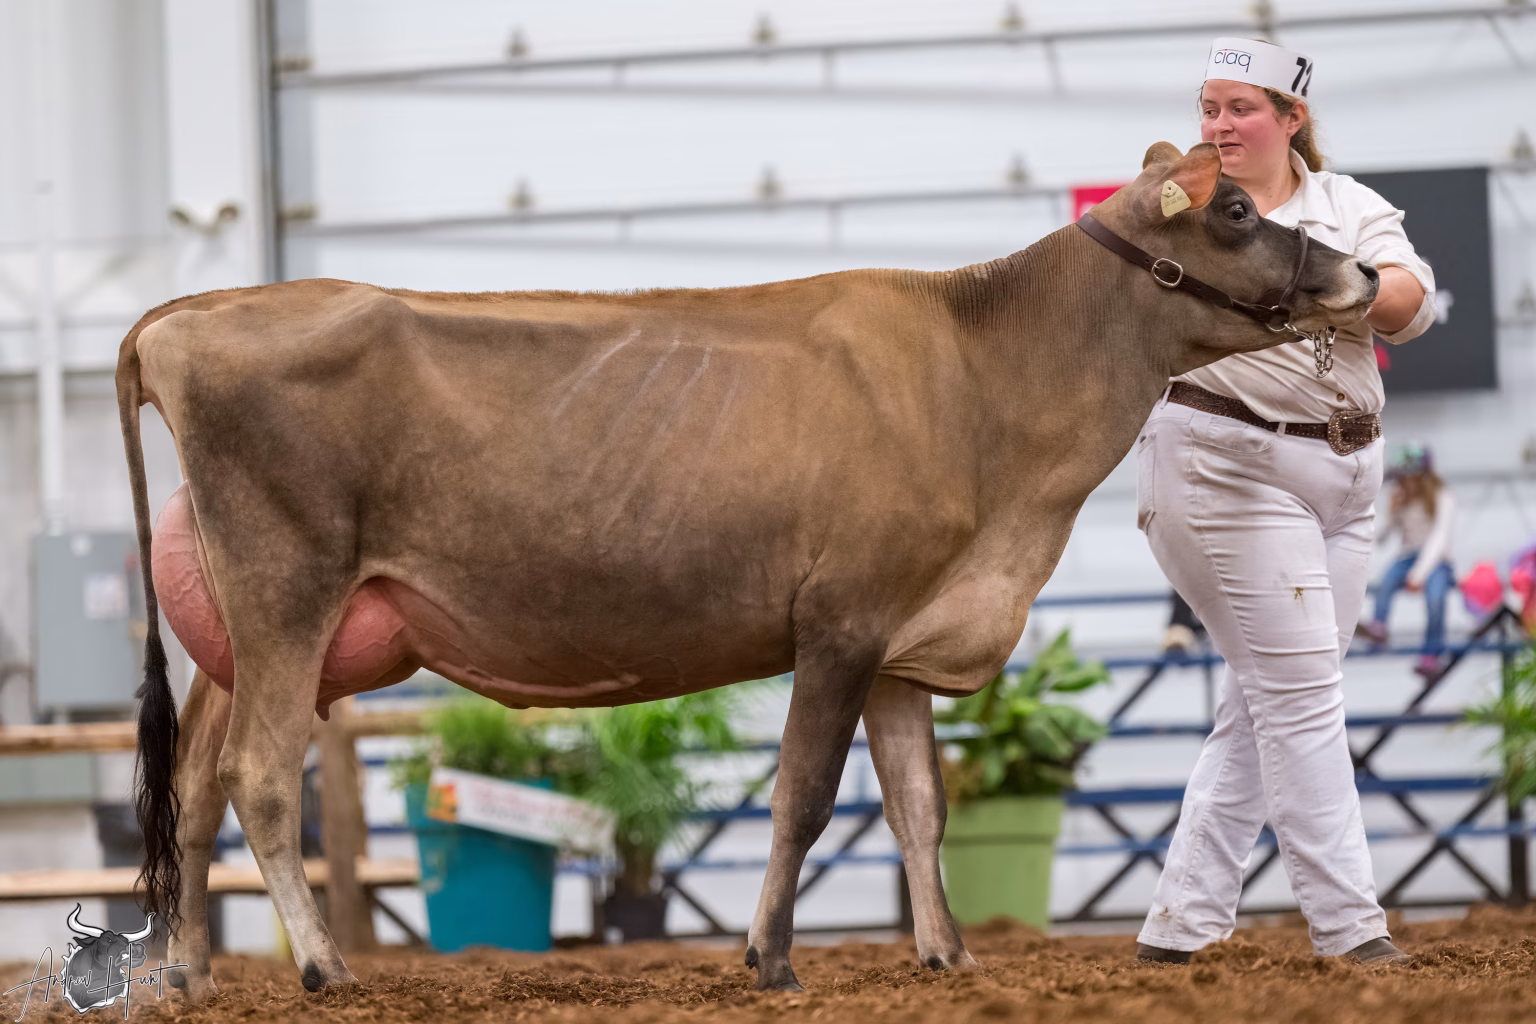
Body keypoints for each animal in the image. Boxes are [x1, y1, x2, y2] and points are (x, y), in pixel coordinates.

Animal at [119, 142, 1377, 998]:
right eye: (1234, 209)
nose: (1365, 274)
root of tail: (191, 315)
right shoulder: (843, 620)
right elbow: (805, 797)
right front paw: (770, 956)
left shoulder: (905, 643)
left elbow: (919, 805)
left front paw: (947, 955)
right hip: (287, 590)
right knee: (260, 777)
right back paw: (324, 968)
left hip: (237, 625)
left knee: (198, 780)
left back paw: (191, 976)